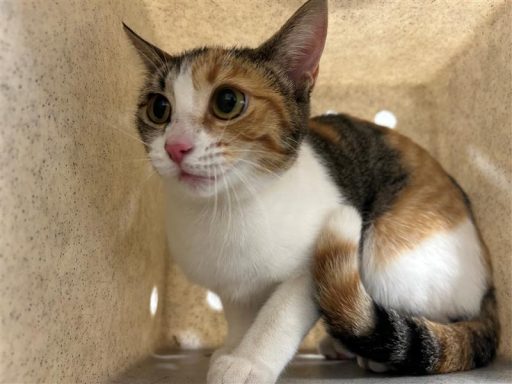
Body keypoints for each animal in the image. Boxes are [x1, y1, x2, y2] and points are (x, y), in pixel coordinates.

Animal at [123, 0, 496, 382]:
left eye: (227, 101)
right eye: (158, 108)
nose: (175, 147)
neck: (228, 209)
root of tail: (488, 284)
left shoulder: (308, 272)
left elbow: (278, 316)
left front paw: (248, 361)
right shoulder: (233, 288)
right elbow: (241, 316)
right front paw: (233, 347)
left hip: (389, 256)